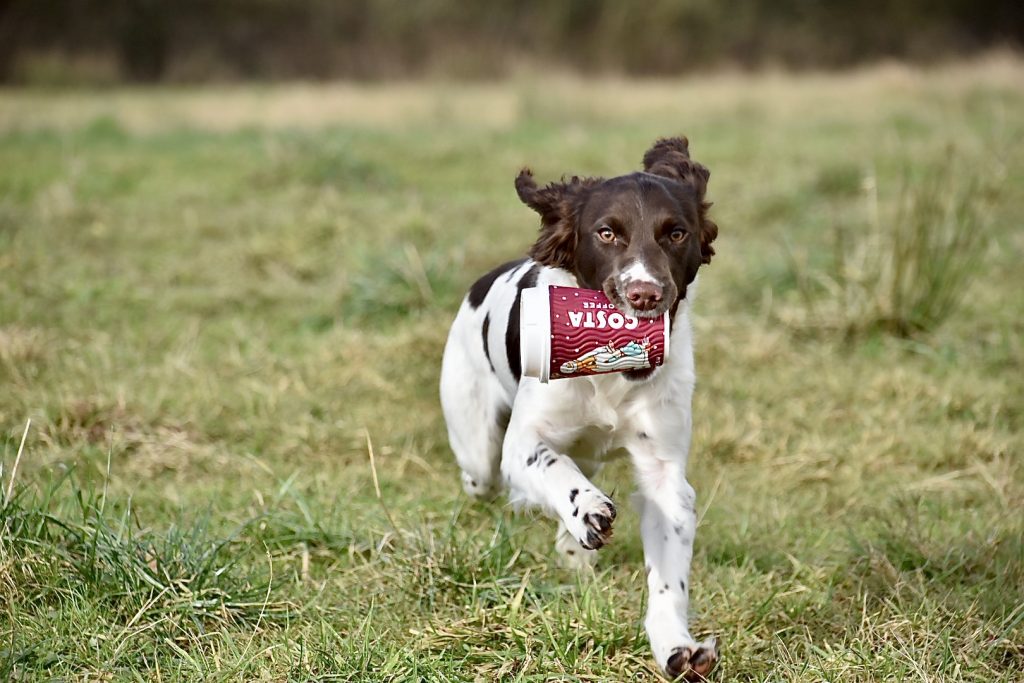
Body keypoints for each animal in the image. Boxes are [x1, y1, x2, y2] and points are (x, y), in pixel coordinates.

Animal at [440, 137, 720, 679]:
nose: (644, 294)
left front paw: (677, 647)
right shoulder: (523, 443)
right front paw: (587, 508)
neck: (615, 371)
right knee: (487, 477)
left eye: (676, 233)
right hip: (476, 448)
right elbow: (550, 467)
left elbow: (669, 577)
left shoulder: (664, 472)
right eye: (607, 232)